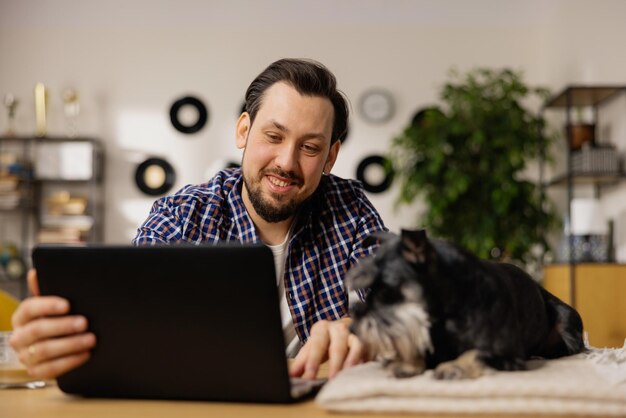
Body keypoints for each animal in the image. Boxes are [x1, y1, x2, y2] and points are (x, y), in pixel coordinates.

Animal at [348, 229, 584, 378]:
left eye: (386, 291)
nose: (352, 329)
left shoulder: (507, 355)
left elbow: (476, 353)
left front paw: (454, 366)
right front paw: (406, 364)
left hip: (567, 322)